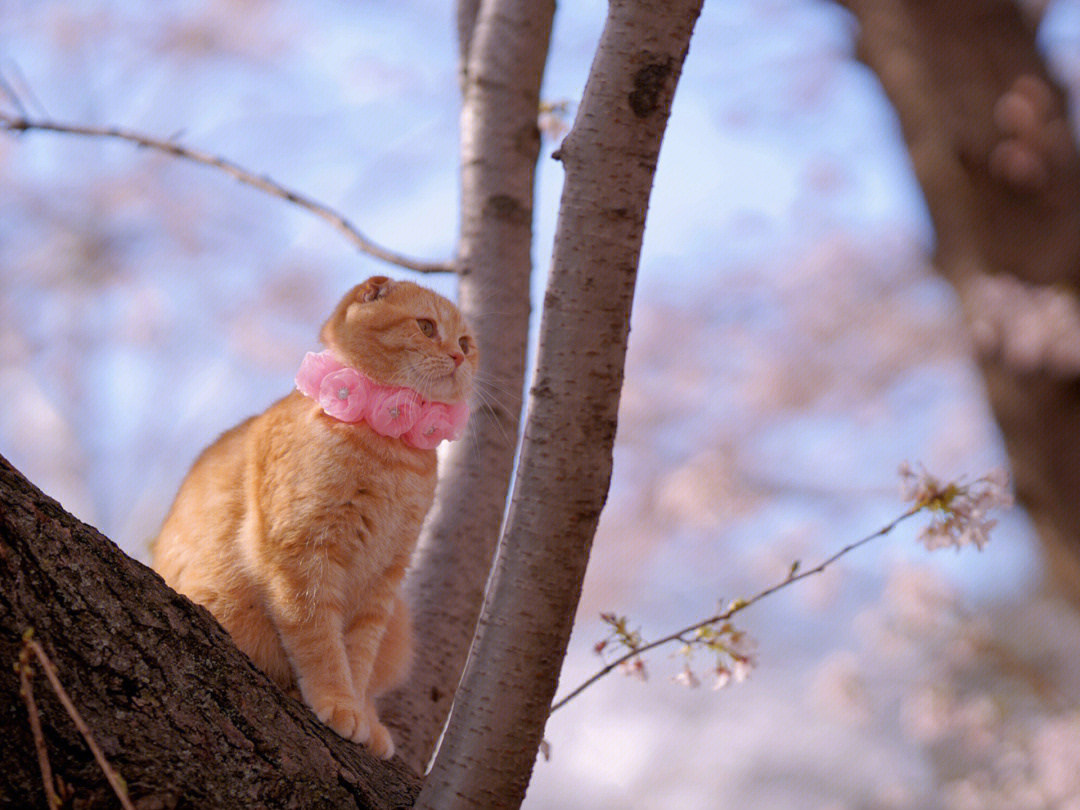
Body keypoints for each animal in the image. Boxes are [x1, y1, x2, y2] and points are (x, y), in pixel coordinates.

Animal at [152, 278, 477, 760]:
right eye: (425, 327)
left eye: (466, 343)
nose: (457, 356)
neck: (393, 455)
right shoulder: (302, 556)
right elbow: (319, 640)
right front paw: (337, 701)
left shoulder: (384, 581)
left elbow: (357, 655)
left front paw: (358, 708)